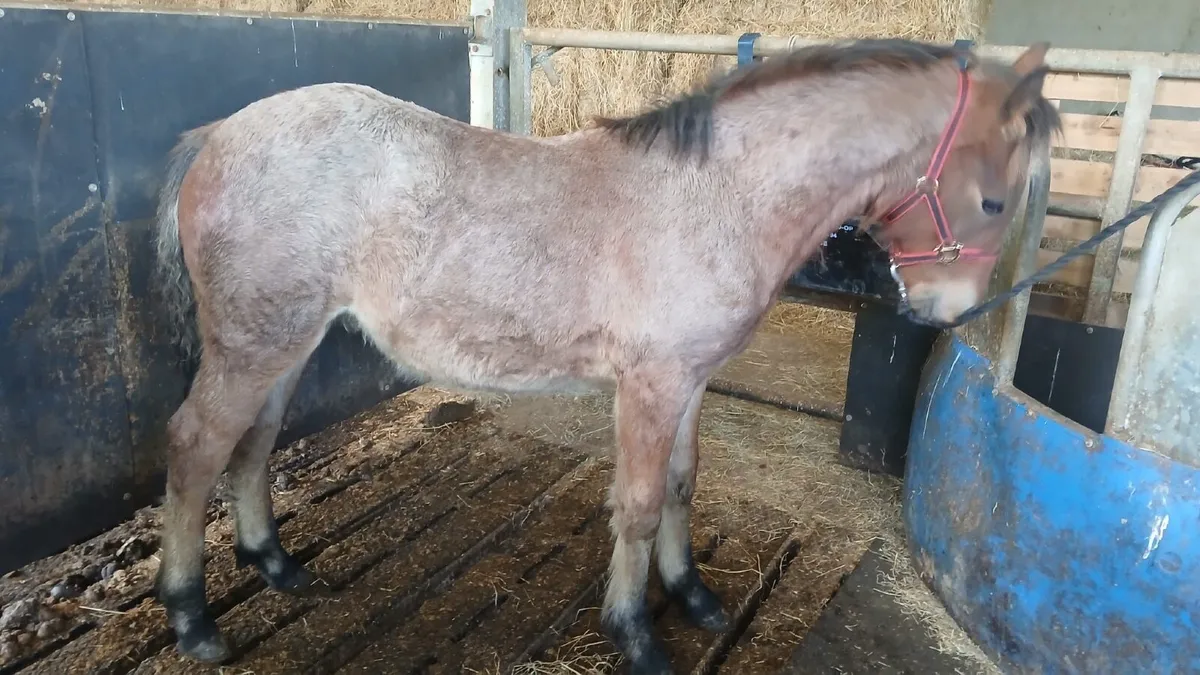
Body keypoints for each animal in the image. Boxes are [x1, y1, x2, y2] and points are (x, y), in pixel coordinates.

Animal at [150, 37, 1059, 673]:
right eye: (994, 200)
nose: (949, 312)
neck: (716, 197)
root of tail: (219, 135)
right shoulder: (649, 386)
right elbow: (641, 502)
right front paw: (635, 631)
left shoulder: (691, 380)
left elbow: (685, 485)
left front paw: (693, 595)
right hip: (253, 343)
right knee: (196, 444)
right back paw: (192, 615)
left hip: (287, 342)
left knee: (254, 442)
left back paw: (273, 562)